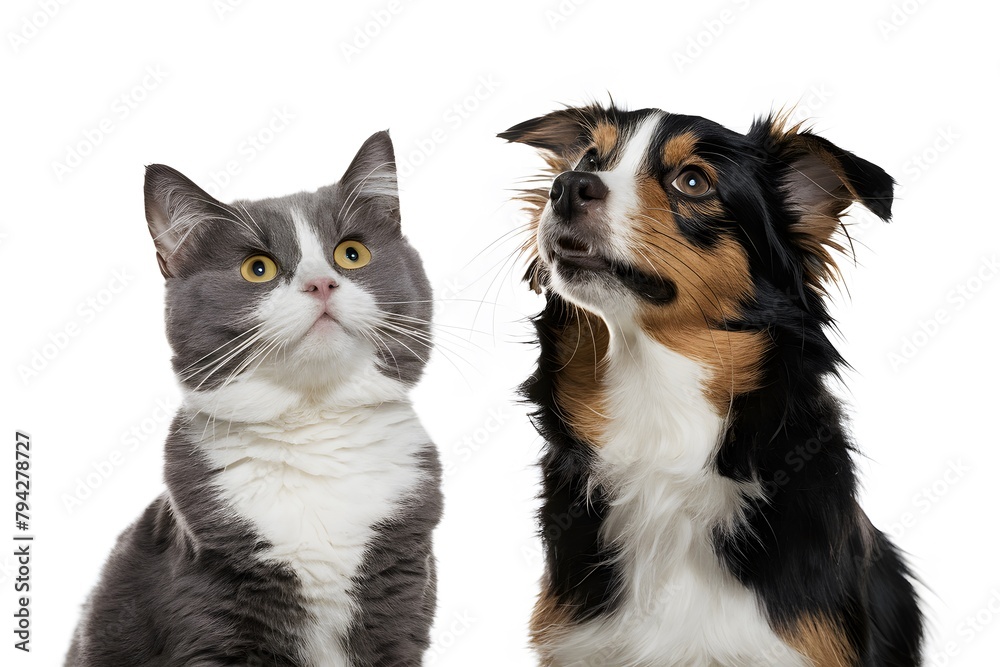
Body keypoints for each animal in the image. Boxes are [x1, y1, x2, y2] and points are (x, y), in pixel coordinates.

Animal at [66, 132, 442, 667]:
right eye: (257, 269)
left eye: (352, 254)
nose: (321, 282)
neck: (314, 429)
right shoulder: (210, 598)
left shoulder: (401, 591)